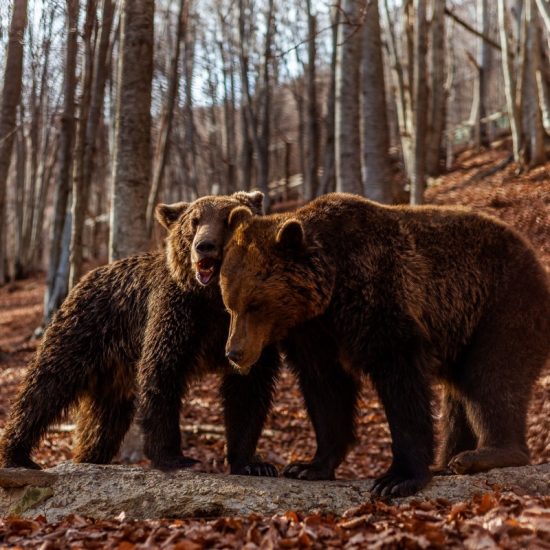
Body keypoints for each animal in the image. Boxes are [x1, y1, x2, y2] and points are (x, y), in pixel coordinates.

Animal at [1, 192, 280, 476]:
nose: (204, 246)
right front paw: (174, 457)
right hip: (83, 330)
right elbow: (162, 375)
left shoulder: (253, 325)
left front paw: (253, 463)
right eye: (194, 221)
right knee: (46, 386)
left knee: (103, 421)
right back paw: (17, 454)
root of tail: (84, 277)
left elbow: (248, 389)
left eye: (228, 219)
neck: (214, 300)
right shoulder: (177, 316)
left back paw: (88, 457)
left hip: (114, 374)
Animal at [220, 194, 550, 500]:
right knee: (460, 395)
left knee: (491, 377)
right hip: (464, 330)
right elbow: (327, 391)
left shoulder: (377, 296)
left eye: (255, 304)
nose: (234, 353)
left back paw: (487, 454)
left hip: (501, 303)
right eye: (229, 304)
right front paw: (308, 466)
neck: (331, 290)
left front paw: (397, 478)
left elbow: (400, 381)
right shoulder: (315, 333)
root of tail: (535, 259)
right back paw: (447, 462)